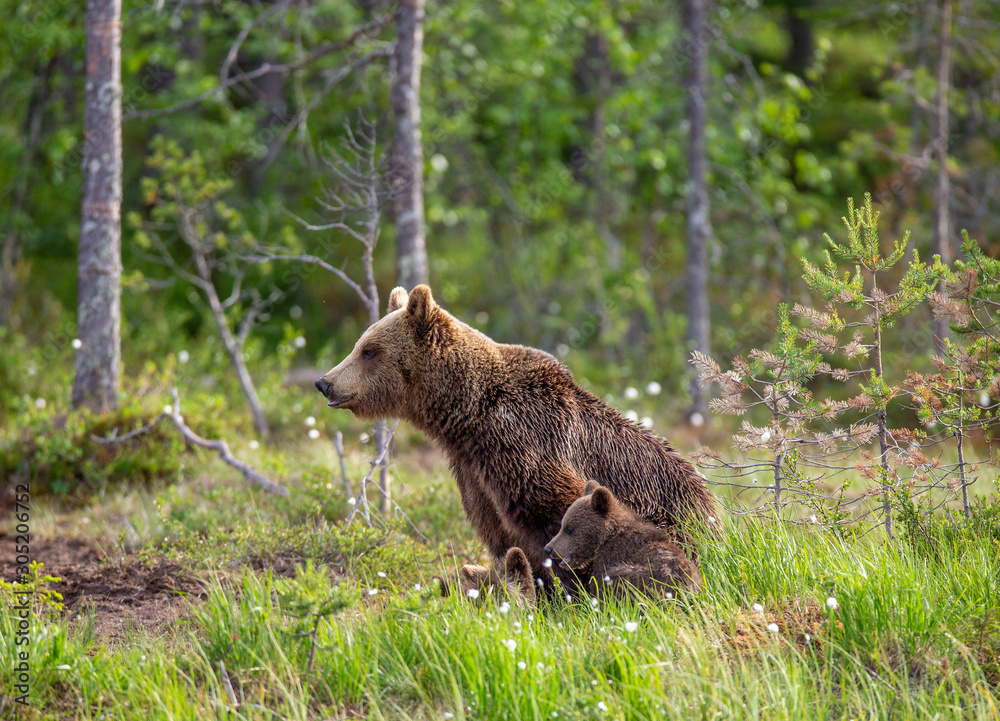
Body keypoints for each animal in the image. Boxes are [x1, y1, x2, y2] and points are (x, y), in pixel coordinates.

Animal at [315, 284, 714, 582]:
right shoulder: (475, 473)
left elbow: (563, 522)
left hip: (675, 513)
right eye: (359, 345)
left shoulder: (527, 447)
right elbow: (500, 535)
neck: (467, 417)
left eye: (369, 351)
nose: (324, 382)